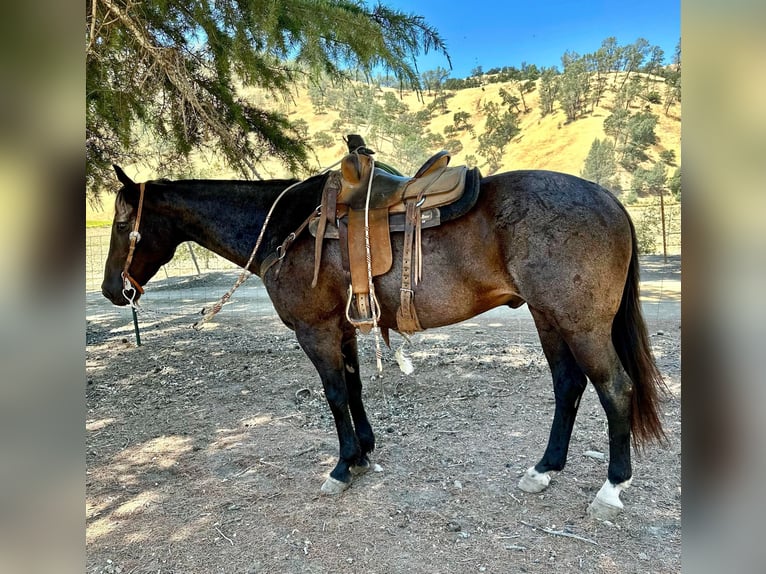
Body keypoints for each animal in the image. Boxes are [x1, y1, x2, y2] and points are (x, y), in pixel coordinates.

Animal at [102, 158, 664, 520]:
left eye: (122, 225)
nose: (111, 289)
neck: (287, 227)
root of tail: (609, 199)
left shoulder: (315, 330)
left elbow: (333, 394)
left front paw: (342, 465)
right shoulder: (343, 326)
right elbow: (352, 388)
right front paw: (365, 452)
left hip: (581, 324)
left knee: (615, 389)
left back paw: (612, 487)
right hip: (550, 319)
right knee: (569, 386)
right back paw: (544, 468)